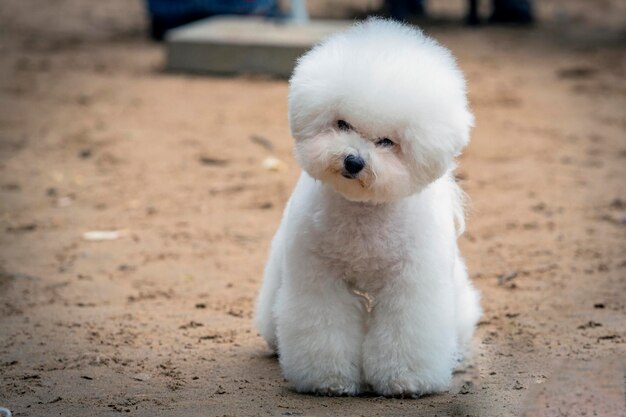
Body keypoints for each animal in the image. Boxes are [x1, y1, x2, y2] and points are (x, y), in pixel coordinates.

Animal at [256, 18, 480, 396]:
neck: (363, 211)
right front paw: (327, 381)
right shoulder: (319, 277)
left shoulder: (411, 284)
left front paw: (404, 380)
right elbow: (324, 326)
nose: (353, 161)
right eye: (342, 123)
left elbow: (407, 331)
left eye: (387, 142)